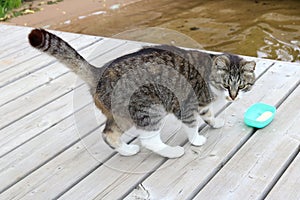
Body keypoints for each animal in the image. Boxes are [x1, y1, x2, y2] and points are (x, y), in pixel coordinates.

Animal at [27, 28, 255, 159]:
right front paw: (196, 139)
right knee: (148, 140)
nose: (233, 96)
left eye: (242, 86)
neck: (208, 76)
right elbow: (192, 124)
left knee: (108, 133)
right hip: (149, 108)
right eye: (226, 84)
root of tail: (100, 70)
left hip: (121, 115)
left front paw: (215, 122)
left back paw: (126, 151)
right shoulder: (186, 105)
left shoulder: (203, 105)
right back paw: (172, 152)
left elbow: (208, 114)